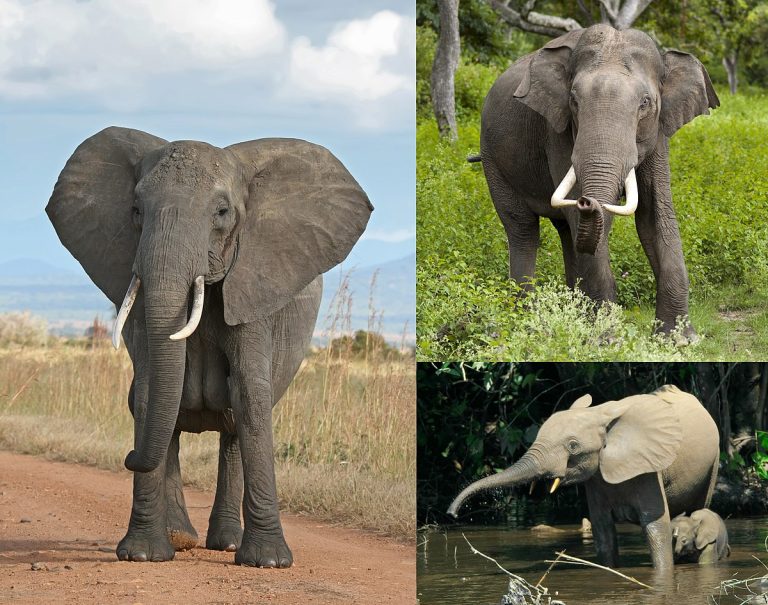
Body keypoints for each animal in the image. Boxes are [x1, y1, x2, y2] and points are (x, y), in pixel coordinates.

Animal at [46, 127, 372, 567]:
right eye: (136, 210)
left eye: (221, 212)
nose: (128, 458)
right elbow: (148, 392)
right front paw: (143, 555)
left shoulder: (255, 283)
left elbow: (250, 393)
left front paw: (268, 562)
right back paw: (180, 538)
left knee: (234, 422)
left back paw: (227, 544)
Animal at [447, 385, 720, 570]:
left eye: (573, 446)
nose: (452, 514)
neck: (600, 414)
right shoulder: (596, 479)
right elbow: (603, 532)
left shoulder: (648, 468)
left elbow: (655, 527)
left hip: (713, 462)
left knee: (698, 508)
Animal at [474, 24, 719, 340]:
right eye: (574, 101)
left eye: (645, 103)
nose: (587, 200)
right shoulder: (558, 131)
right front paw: (607, 339)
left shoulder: (658, 133)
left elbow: (655, 216)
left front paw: (679, 340)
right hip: (492, 158)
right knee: (523, 229)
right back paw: (527, 320)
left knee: (566, 232)